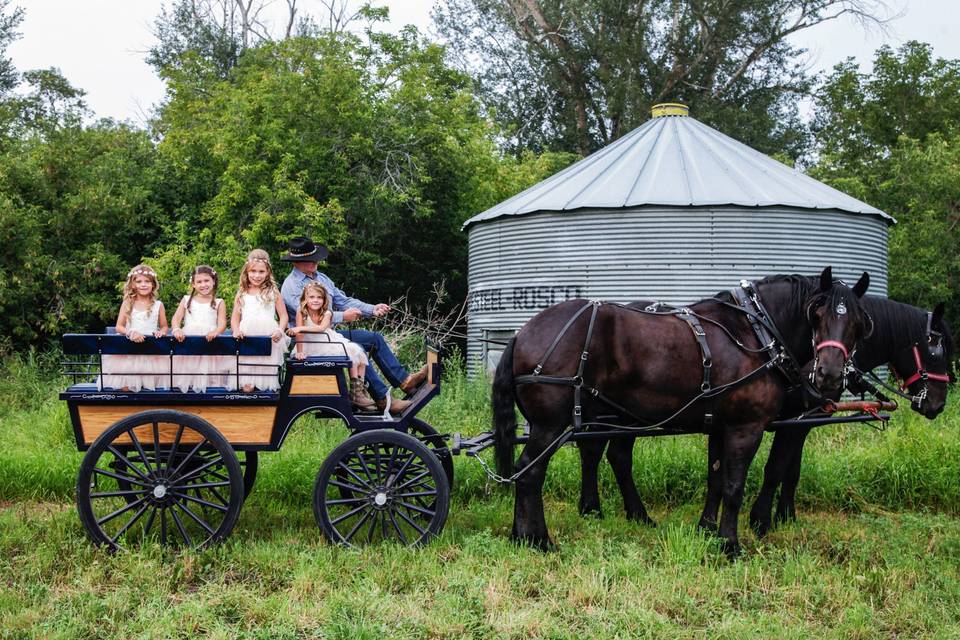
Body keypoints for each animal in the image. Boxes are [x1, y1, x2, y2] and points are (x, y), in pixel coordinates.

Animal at [496, 266, 872, 556]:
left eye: (857, 322)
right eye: (817, 314)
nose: (829, 374)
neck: (756, 333)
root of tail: (521, 334)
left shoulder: (720, 427)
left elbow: (715, 480)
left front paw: (706, 529)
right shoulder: (745, 427)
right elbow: (734, 485)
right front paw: (730, 545)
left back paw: (524, 535)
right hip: (552, 425)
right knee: (530, 472)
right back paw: (538, 540)